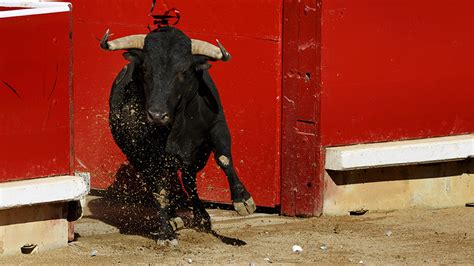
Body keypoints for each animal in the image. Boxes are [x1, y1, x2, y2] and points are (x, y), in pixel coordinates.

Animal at [100, 27, 256, 241]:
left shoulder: (217, 125)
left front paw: (243, 201)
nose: (157, 115)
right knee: (163, 186)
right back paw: (174, 218)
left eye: (183, 71)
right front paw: (166, 233)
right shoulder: (146, 155)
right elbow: (161, 192)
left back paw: (202, 218)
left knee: (189, 181)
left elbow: (224, 159)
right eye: (145, 69)